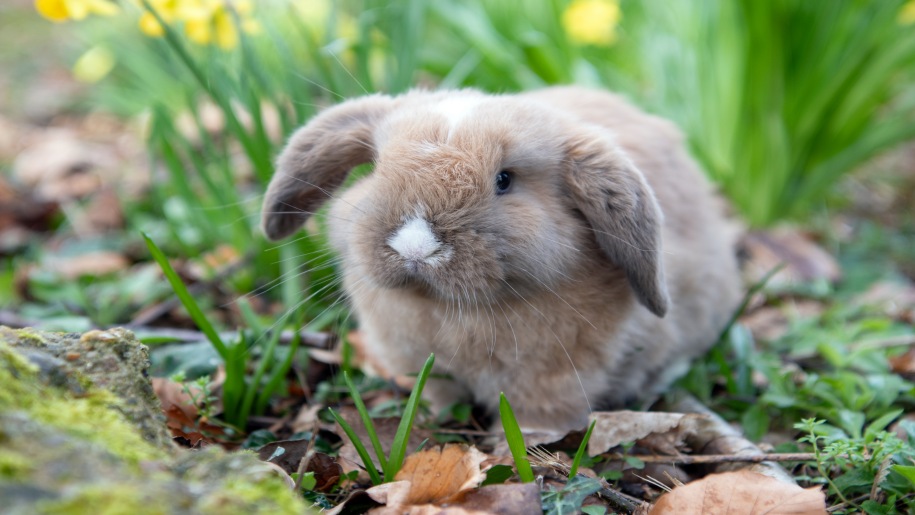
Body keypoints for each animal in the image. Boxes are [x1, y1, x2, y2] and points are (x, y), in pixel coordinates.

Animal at [260, 86, 744, 434]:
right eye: (378, 168)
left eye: (504, 180)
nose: (415, 246)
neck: (447, 309)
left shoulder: (557, 376)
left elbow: (543, 410)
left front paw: (525, 442)